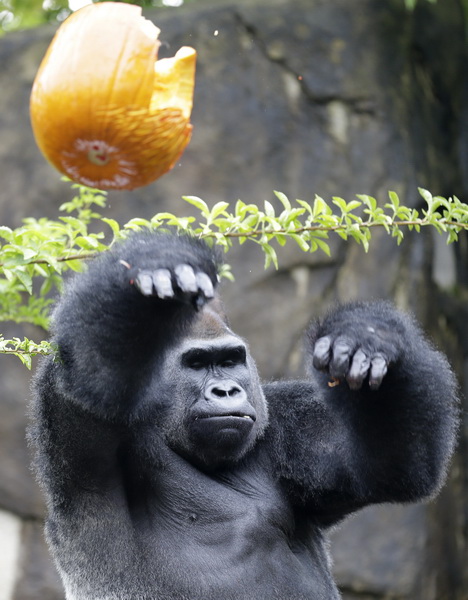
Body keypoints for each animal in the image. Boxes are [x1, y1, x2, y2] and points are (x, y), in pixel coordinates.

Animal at [31, 231, 458, 600]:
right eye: (197, 364)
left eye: (230, 360)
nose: (226, 391)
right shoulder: (83, 422)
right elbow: (91, 376)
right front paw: (157, 261)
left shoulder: (287, 421)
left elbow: (392, 468)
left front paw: (369, 334)